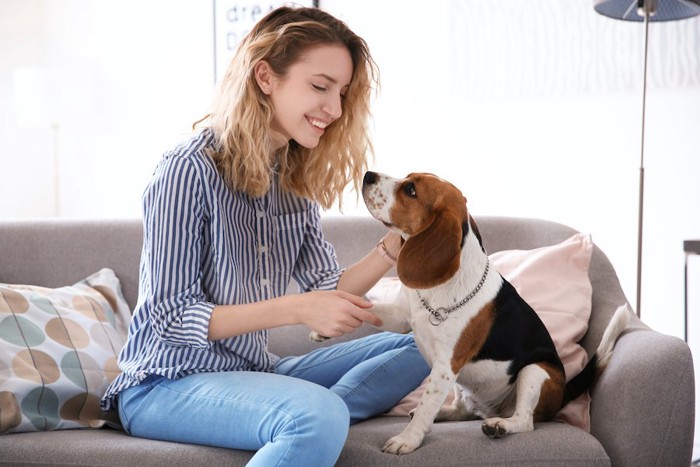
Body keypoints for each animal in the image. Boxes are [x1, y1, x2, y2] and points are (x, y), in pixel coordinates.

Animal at [344, 171, 628, 454]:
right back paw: (447, 413)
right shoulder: (400, 316)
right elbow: (372, 311)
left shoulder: (446, 366)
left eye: (411, 189)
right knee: (463, 410)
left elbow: (426, 404)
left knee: (525, 421)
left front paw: (407, 439)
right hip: (468, 386)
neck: (439, 290)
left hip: (535, 371)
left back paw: (500, 425)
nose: (368, 175)